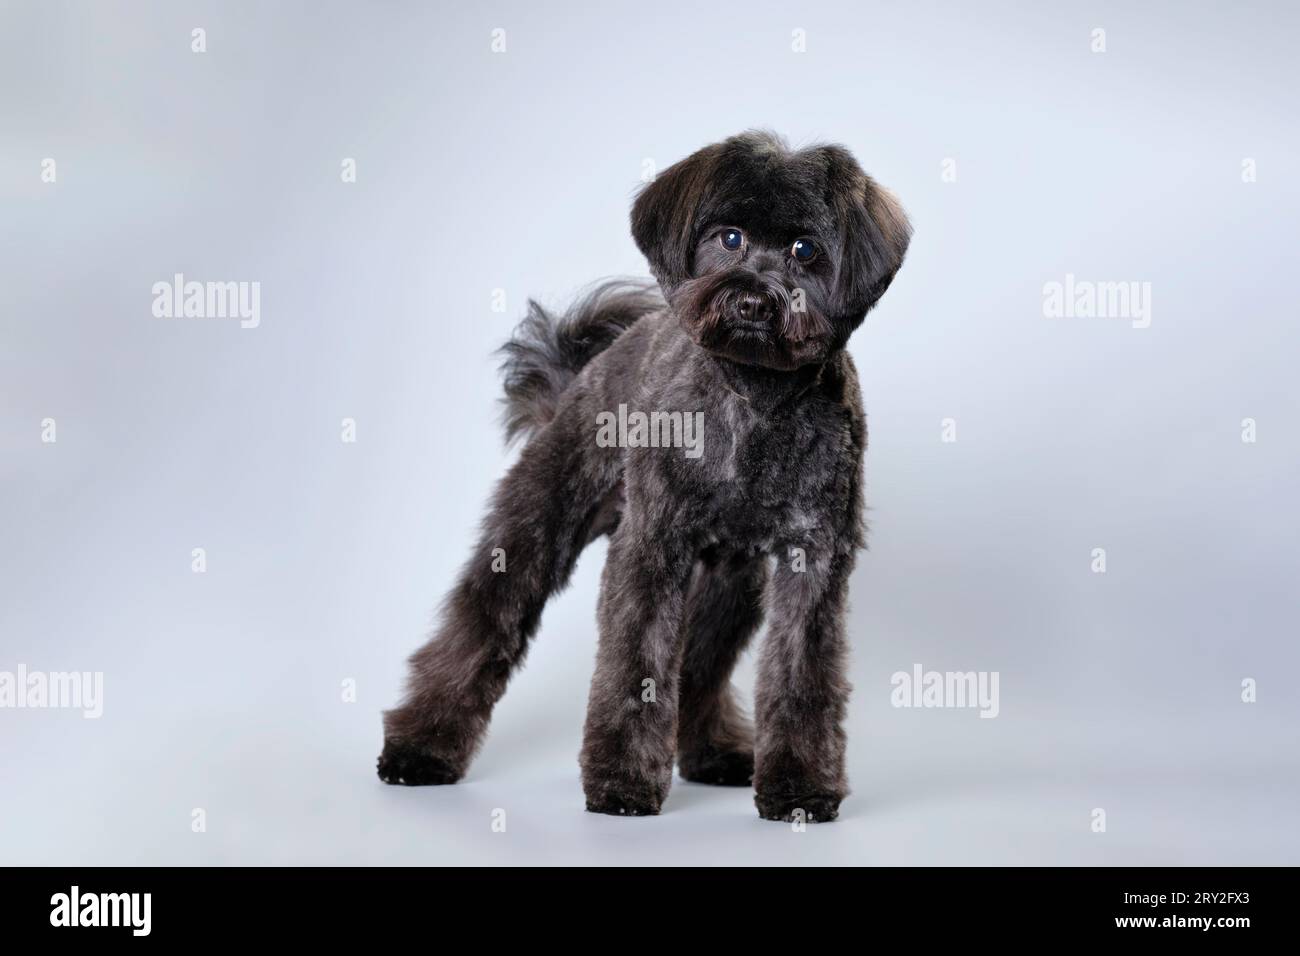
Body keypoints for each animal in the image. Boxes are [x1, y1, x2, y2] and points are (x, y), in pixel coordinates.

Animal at [379, 132, 915, 822]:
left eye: (805, 250)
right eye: (729, 237)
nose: (753, 299)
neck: (754, 398)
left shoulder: (814, 559)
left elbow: (801, 675)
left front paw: (799, 788)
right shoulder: (651, 549)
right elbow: (636, 663)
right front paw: (623, 782)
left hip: (728, 581)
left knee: (700, 663)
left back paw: (711, 753)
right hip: (538, 523)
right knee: (478, 623)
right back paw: (420, 749)